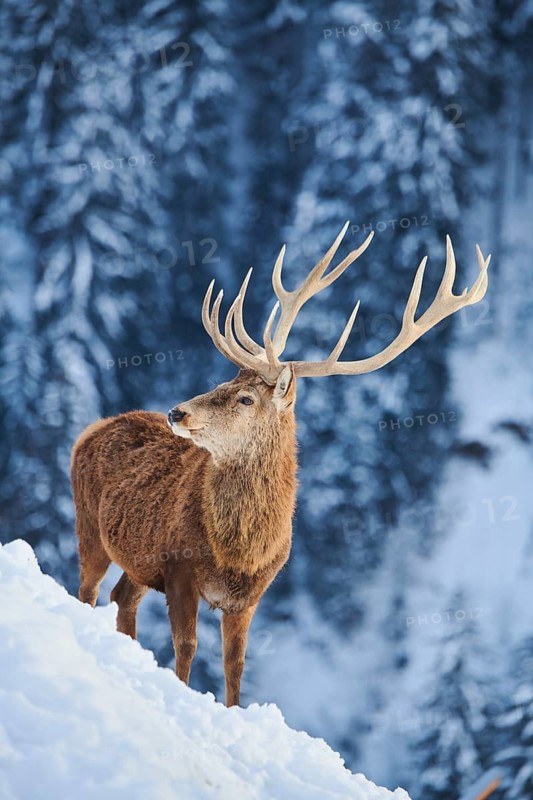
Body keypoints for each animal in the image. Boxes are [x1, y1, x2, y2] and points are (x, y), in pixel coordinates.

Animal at [71, 222, 490, 706]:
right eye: (224, 380)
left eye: (244, 397)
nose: (176, 412)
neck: (239, 553)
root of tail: (91, 430)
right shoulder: (178, 569)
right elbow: (186, 647)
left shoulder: (251, 596)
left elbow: (235, 666)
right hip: (88, 523)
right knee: (89, 589)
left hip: (134, 557)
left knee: (122, 596)